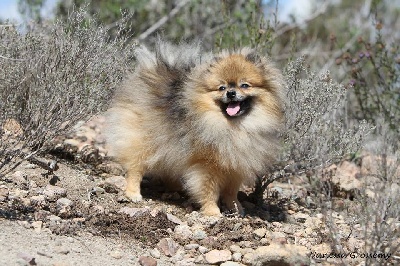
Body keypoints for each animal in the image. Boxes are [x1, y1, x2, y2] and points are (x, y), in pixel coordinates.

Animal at [104, 41, 286, 216]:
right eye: (222, 87)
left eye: (245, 85)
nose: (231, 93)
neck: (235, 127)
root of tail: (153, 70)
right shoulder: (207, 165)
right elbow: (209, 190)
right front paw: (212, 211)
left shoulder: (235, 164)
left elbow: (231, 192)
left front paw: (235, 208)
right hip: (145, 141)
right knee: (135, 167)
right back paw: (133, 193)